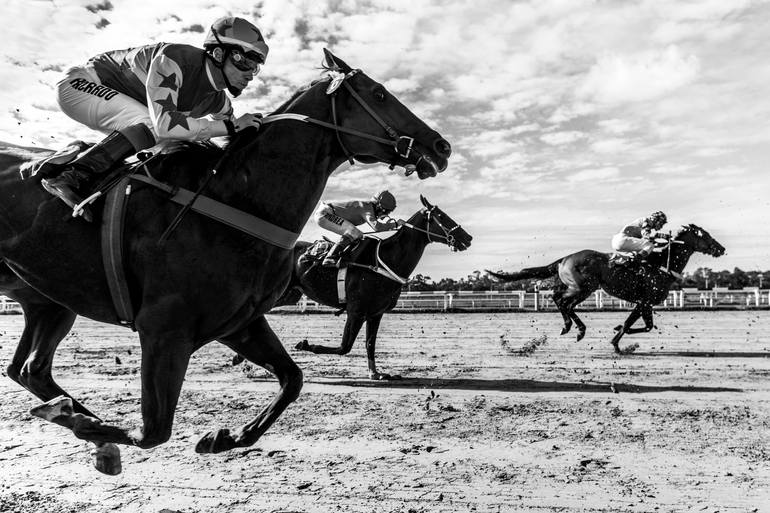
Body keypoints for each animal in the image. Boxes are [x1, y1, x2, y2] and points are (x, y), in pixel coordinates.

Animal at [276, 194, 468, 378]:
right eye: (441, 216)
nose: (468, 237)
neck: (383, 261)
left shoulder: (375, 313)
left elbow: (370, 343)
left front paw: (375, 373)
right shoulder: (356, 311)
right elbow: (344, 347)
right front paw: (304, 344)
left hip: (288, 295)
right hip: (323, 217)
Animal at [488, 224, 724, 352]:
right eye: (705, 235)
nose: (721, 249)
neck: (661, 265)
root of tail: (565, 258)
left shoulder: (643, 303)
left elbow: (644, 325)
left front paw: (617, 333)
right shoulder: (645, 301)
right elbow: (635, 324)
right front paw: (617, 341)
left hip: (576, 287)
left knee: (557, 297)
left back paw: (569, 327)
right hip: (584, 288)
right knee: (564, 302)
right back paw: (576, 329)